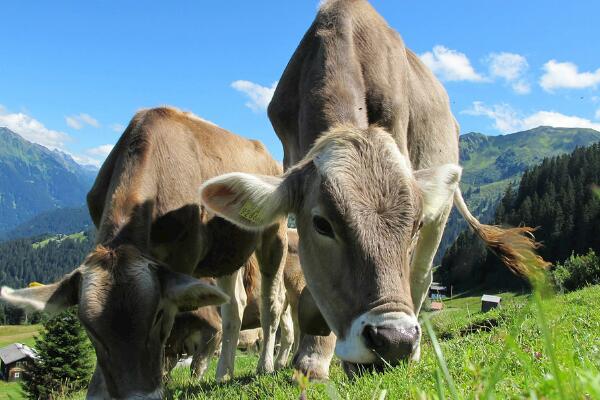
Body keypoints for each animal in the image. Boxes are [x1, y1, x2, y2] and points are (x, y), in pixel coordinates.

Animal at [0, 108, 290, 398]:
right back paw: (224, 374)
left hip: (275, 233)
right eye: (89, 328)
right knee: (234, 306)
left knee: (271, 303)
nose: (138, 393)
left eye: (158, 315)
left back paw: (266, 366)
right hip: (226, 253)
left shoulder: (183, 259)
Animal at [199, 0, 548, 376]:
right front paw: (311, 359)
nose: (395, 340)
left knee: (421, 277)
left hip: (441, 213)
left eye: (414, 225)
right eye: (322, 224)